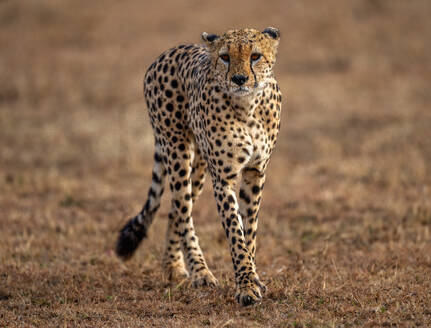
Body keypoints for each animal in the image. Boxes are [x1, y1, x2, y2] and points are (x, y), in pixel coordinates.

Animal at [115, 26, 284, 306]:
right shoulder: (224, 178)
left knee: (175, 209)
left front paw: (253, 277)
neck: (247, 107)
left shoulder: (255, 171)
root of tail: (167, 52)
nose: (239, 79)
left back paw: (173, 266)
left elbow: (249, 230)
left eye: (255, 56)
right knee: (182, 210)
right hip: (177, 151)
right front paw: (246, 286)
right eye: (225, 57)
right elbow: (235, 232)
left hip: (200, 166)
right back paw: (199, 271)